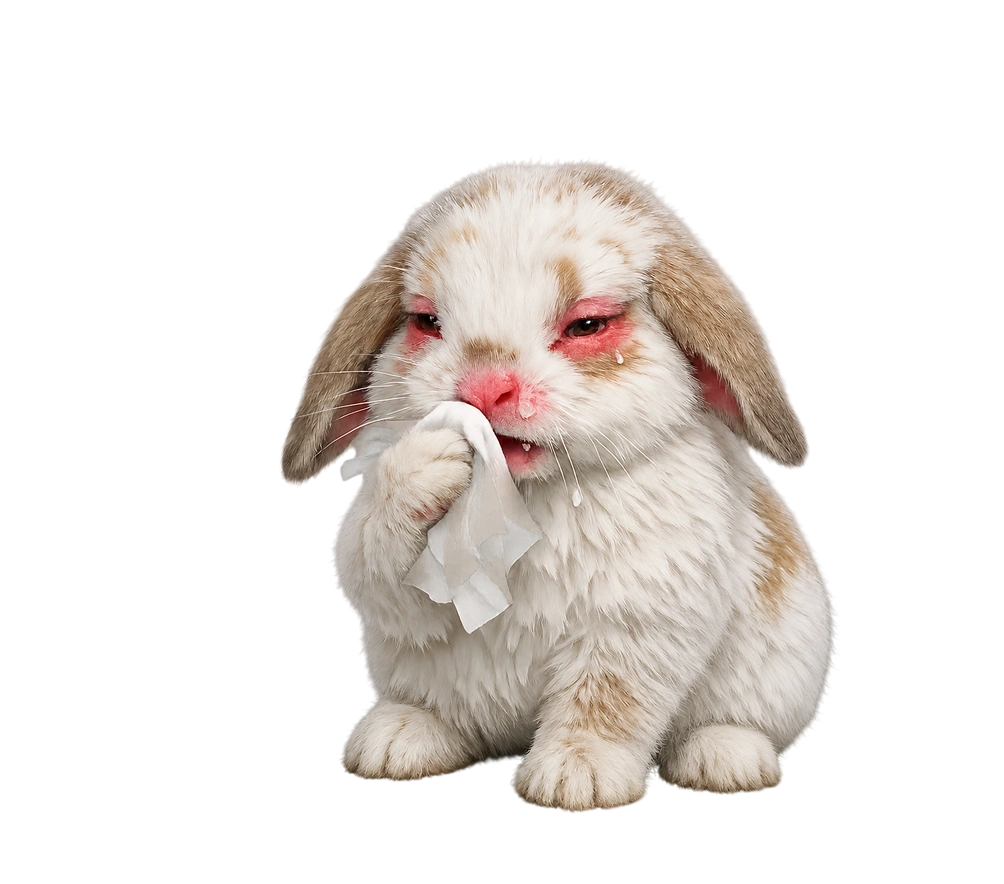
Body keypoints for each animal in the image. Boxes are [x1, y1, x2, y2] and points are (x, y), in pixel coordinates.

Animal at [281, 159, 836, 811]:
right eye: (425, 321)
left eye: (588, 324)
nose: (484, 388)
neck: (526, 496)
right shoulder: (384, 580)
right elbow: (371, 551)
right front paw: (432, 459)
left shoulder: (637, 625)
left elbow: (605, 703)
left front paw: (577, 776)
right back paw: (398, 739)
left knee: (737, 723)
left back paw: (726, 760)